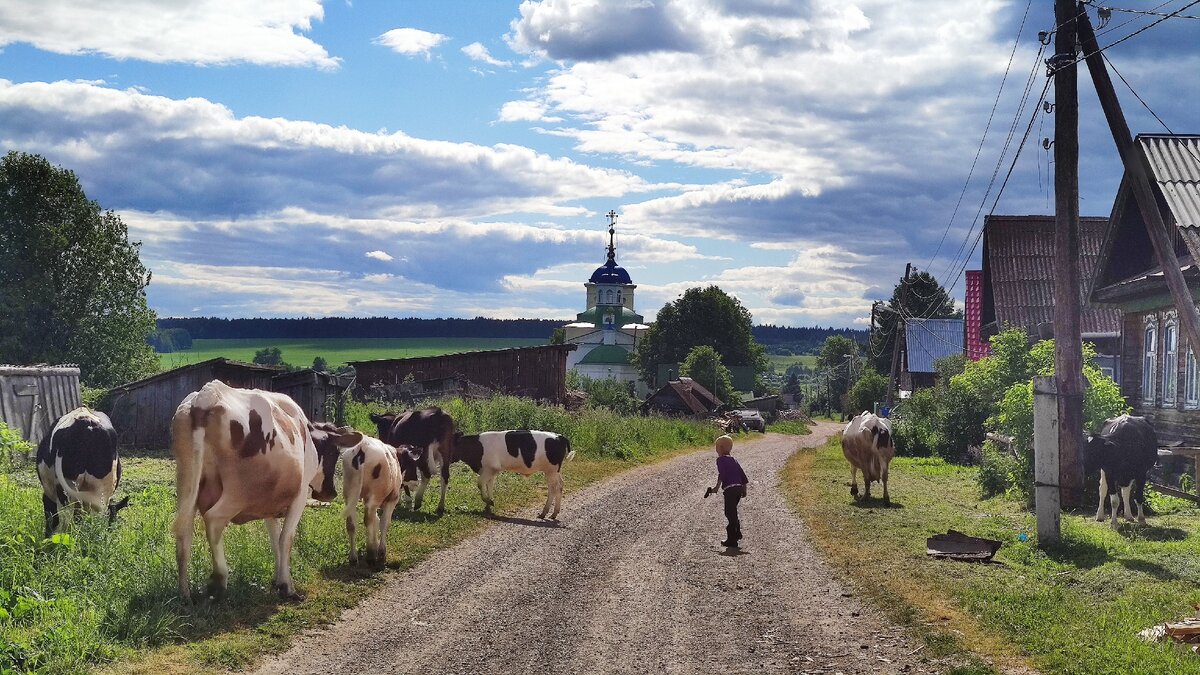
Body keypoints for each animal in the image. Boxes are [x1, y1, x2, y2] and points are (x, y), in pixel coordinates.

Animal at [171, 379, 360, 598]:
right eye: (334, 452)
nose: (331, 492)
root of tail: (207, 395)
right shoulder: (299, 496)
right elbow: (286, 539)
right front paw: (287, 586)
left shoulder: (270, 503)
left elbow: (275, 539)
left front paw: (278, 580)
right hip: (238, 494)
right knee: (213, 519)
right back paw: (219, 579)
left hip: (187, 482)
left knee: (183, 529)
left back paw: (184, 593)